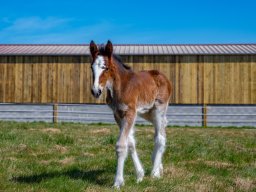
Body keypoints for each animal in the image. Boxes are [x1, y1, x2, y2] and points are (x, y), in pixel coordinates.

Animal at [89, 39, 172, 188]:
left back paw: (155, 172)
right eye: (91, 68)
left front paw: (118, 182)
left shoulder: (130, 113)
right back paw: (158, 165)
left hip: (159, 109)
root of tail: (164, 78)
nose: (95, 91)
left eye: (106, 68)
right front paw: (139, 174)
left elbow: (121, 145)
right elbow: (131, 142)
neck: (120, 87)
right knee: (162, 130)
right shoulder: (118, 114)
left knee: (160, 137)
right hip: (148, 113)